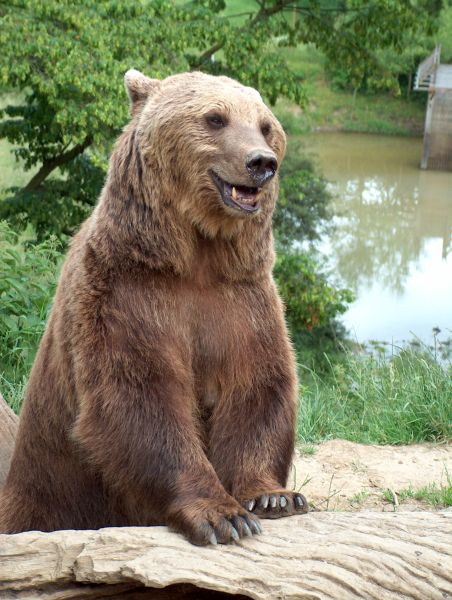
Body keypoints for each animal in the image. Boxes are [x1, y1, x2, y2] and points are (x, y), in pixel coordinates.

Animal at [0, 69, 308, 544]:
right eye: (215, 118)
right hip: (49, 491)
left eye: (265, 125)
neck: (195, 255)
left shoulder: (241, 298)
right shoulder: (126, 294)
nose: (261, 163)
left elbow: (256, 386)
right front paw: (223, 517)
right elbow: (142, 397)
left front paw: (271, 497)